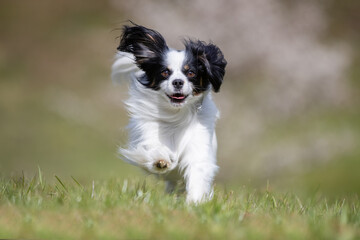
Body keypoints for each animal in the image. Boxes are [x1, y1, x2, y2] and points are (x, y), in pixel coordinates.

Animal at [111, 23, 226, 203]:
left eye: (191, 72)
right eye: (165, 72)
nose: (178, 82)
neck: (176, 114)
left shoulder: (198, 148)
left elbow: (197, 174)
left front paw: (194, 202)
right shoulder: (149, 134)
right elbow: (155, 149)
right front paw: (161, 160)